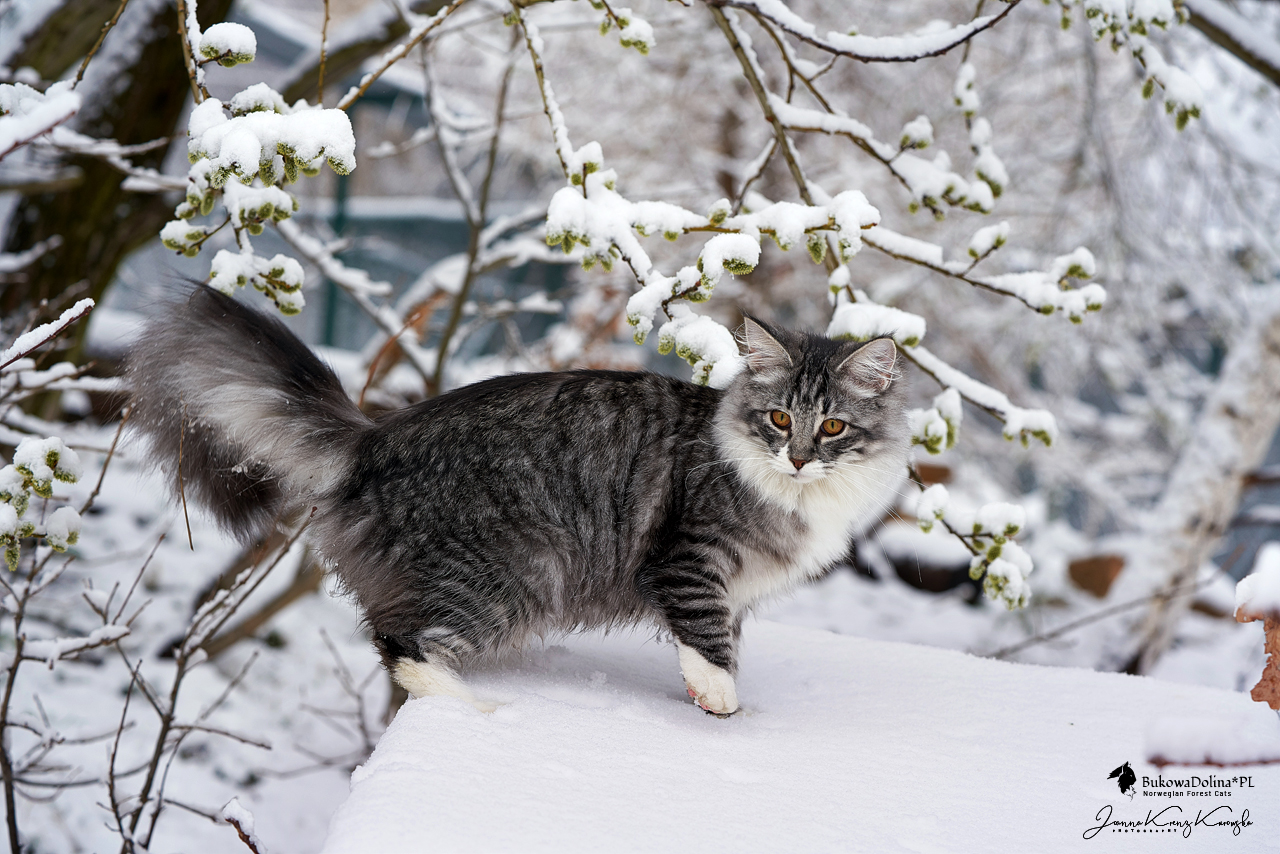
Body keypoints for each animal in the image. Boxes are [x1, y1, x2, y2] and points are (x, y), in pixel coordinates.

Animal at [127, 286, 908, 716]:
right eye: (779, 419)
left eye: (832, 427)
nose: (798, 456)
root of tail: (377, 435)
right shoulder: (691, 558)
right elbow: (708, 636)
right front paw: (718, 695)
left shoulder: (734, 588)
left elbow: (725, 636)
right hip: (516, 575)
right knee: (401, 646)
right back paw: (480, 710)